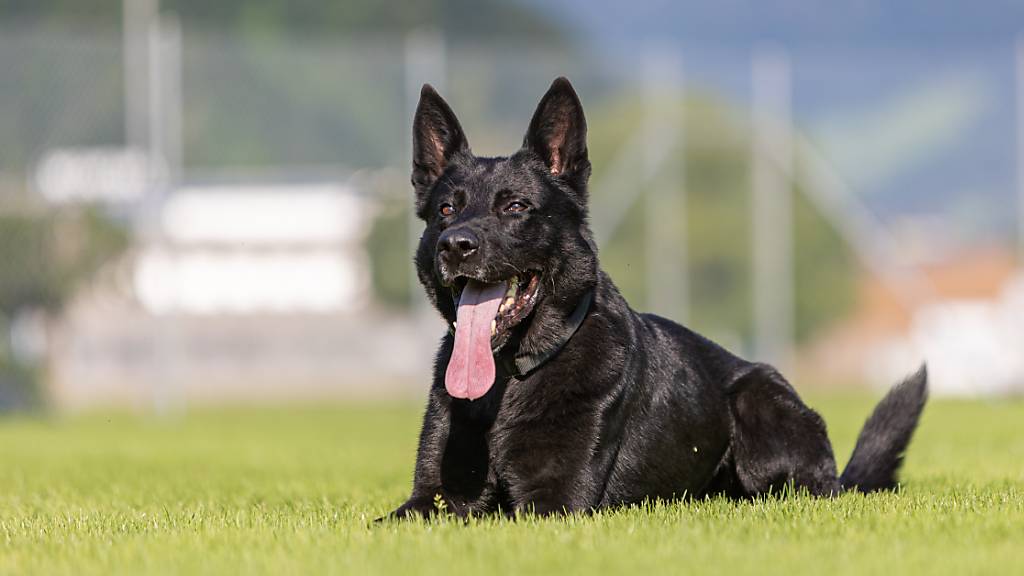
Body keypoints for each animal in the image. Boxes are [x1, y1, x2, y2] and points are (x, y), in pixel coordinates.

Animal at [387, 77, 933, 516]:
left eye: (516, 207)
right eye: (445, 210)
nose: (455, 245)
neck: (510, 380)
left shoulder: (554, 502)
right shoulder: (430, 499)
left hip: (760, 409)